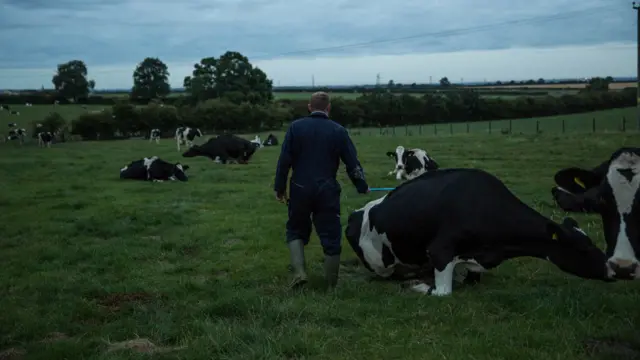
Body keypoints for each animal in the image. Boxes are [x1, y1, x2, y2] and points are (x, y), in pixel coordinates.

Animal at [348, 167, 612, 296]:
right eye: (582, 248)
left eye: (591, 242)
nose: (612, 269)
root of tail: (354, 213)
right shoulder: (440, 251)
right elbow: (442, 292)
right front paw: (421, 286)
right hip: (380, 264)